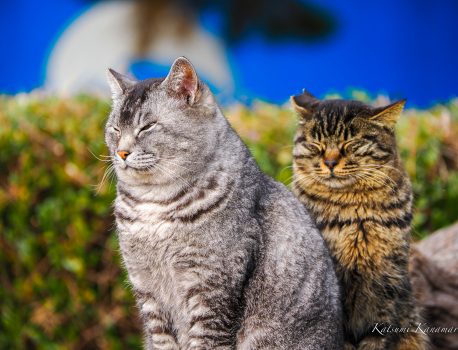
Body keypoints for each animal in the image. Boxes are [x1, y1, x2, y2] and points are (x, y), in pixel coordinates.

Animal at [105, 56, 342, 348]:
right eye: (115, 129)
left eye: (147, 126)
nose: (121, 152)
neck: (154, 205)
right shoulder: (147, 290)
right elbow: (162, 339)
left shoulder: (213, 289)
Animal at [292, 91, 428, 350]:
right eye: (316, 145)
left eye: (350, 144)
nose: (330, 163)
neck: (355, 212)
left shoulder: (387, 278)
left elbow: (377, 333)